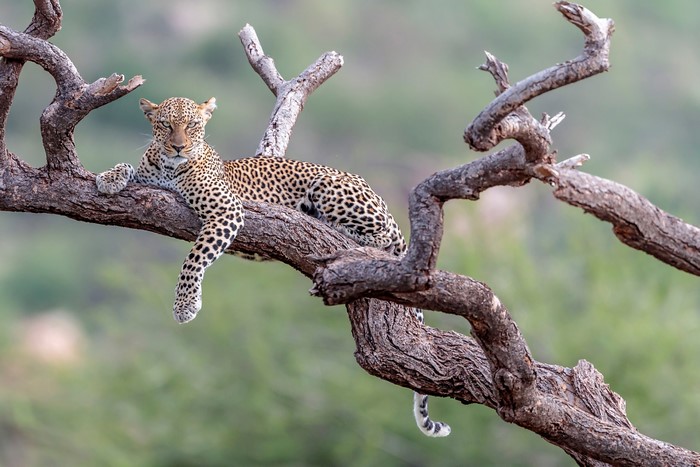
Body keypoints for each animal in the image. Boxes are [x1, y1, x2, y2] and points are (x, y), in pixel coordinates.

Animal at [95, 96, 450, 438]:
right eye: (166, 125)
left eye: (193, 125)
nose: (179, 147)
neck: (170, 167)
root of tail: (377, 196)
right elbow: (128, 165)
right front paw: (108, 178)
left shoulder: (227, 210)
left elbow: (194, 258)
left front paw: (185, 305)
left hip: (329, 186)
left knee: (382, 236)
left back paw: (333, 226)